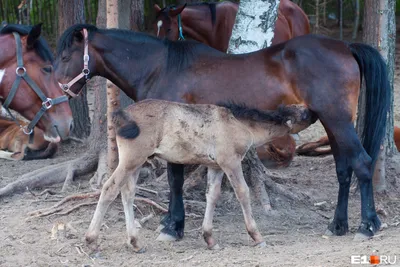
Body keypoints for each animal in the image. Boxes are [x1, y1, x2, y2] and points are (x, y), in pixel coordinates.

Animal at [54, 24, 390, 243]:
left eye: (64, 56)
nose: (57, 95)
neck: (161, 67)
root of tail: (345, 46)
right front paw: (176, 225)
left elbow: (175, 180)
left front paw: (172, 227)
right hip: (333, 124)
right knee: (344, 170)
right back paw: (338, 225)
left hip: (338, 121)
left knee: (362, 164)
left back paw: (367, 225)